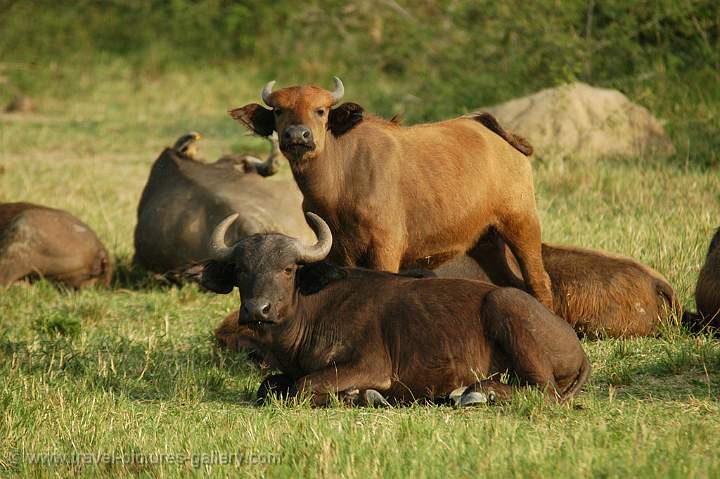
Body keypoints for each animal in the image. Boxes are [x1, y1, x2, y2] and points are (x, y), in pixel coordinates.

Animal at [200, 212, 588, 406]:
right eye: (240, 269)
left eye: (288, 269)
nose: (257, 309)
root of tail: (575, 344)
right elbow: (269, 385)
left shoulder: (370, 366)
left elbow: (304, 388)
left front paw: (359, 396)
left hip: (505, 307)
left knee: (542, 391)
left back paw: (477, 392)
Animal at [228, 79, 556, 312]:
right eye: (279, 111)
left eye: (320, 111)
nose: (297, 136)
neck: (340, 181)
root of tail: (496, 133)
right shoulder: (335, 251)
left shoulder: (386, 249)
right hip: (486, 241)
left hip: (522, 223)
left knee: (539, 281)